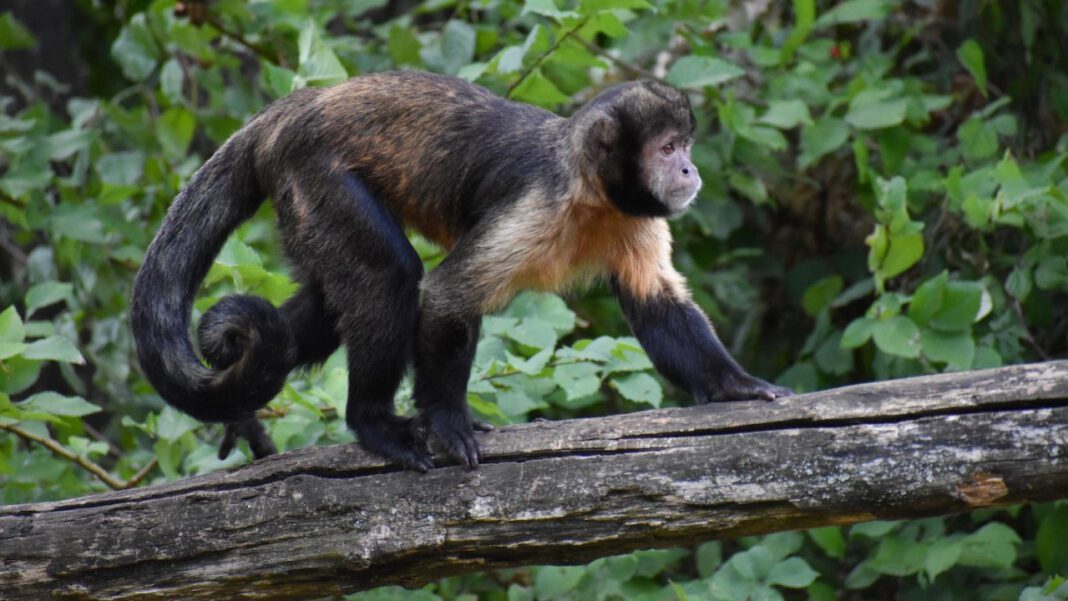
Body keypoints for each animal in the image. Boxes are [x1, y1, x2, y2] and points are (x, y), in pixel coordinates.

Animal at [130, 71, 791, 472]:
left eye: (684, 146)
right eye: (666, 149)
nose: (689, 171)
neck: (591, 192)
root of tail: (293, 109)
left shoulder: (635, 217)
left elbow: (657, 304)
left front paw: (735, 386)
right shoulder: (539, 203)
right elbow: (448, 295)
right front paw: (447, 424)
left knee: (321, 311)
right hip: (312, 176)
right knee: (388, 278)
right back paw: (373, 423)